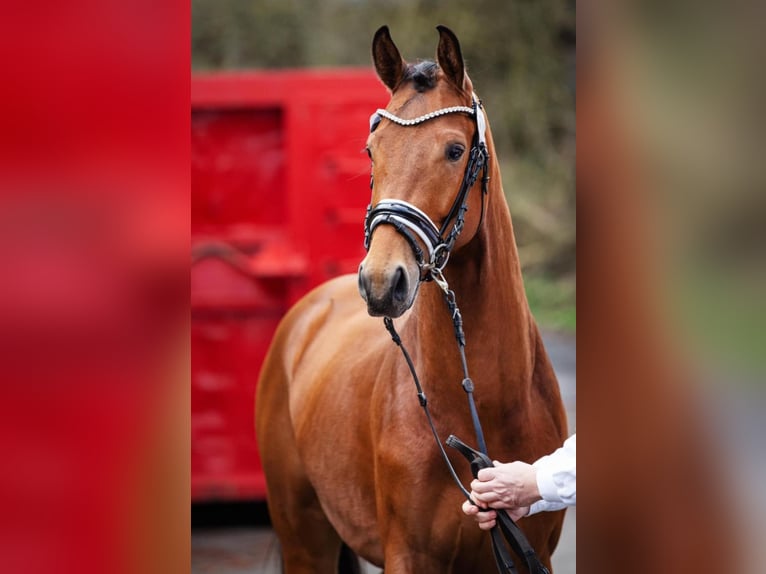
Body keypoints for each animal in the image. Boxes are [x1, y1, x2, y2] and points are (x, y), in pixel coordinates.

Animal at [258, 24, 568, 572]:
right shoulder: (408, 554)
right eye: (371, 150)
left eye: (455, 151)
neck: (485, 403)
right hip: (303, 539)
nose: (382, 282)